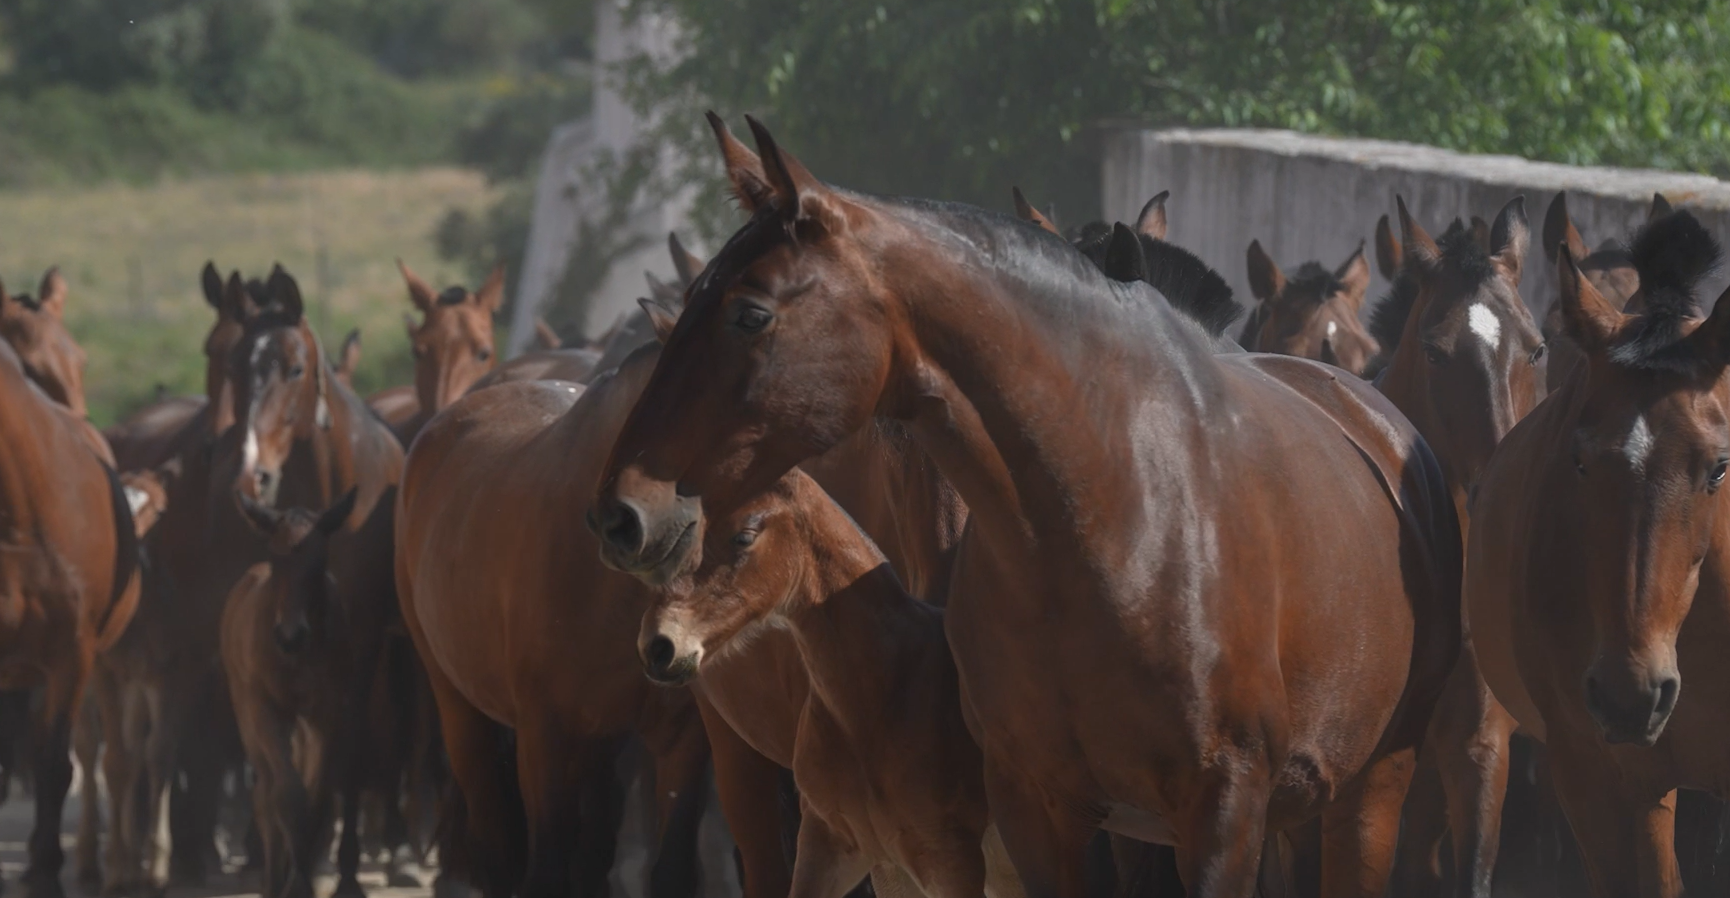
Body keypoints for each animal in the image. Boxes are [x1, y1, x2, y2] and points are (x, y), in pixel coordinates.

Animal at [221, 490, 360, 898]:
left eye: (319, 561)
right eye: (276, 558)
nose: (290, 636)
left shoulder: (328, 713)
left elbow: (318, 798)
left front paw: (302, 877)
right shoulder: (265, 710)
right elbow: (286, 796)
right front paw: (293, 883)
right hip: (246, 712)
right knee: (265, 795)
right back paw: (271, 879)